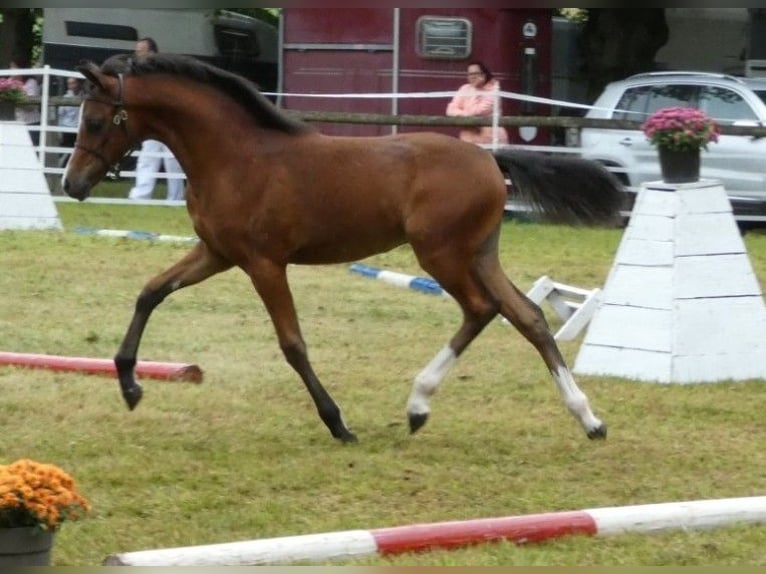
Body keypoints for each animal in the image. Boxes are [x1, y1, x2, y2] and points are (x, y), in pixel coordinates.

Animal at [60, 54, 624, 446]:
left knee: (481, 309)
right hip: (480, 253)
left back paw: (418, 406)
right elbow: (150, 292)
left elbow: (293, 344)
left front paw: (338, 424)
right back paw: (589, 419)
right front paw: (130, 386)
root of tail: (490, 158)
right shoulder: (216, 254)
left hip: (441, 255)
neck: (236, 157)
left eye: (95, 121)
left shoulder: (263, 263)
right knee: (527, 316)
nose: (72, 184)